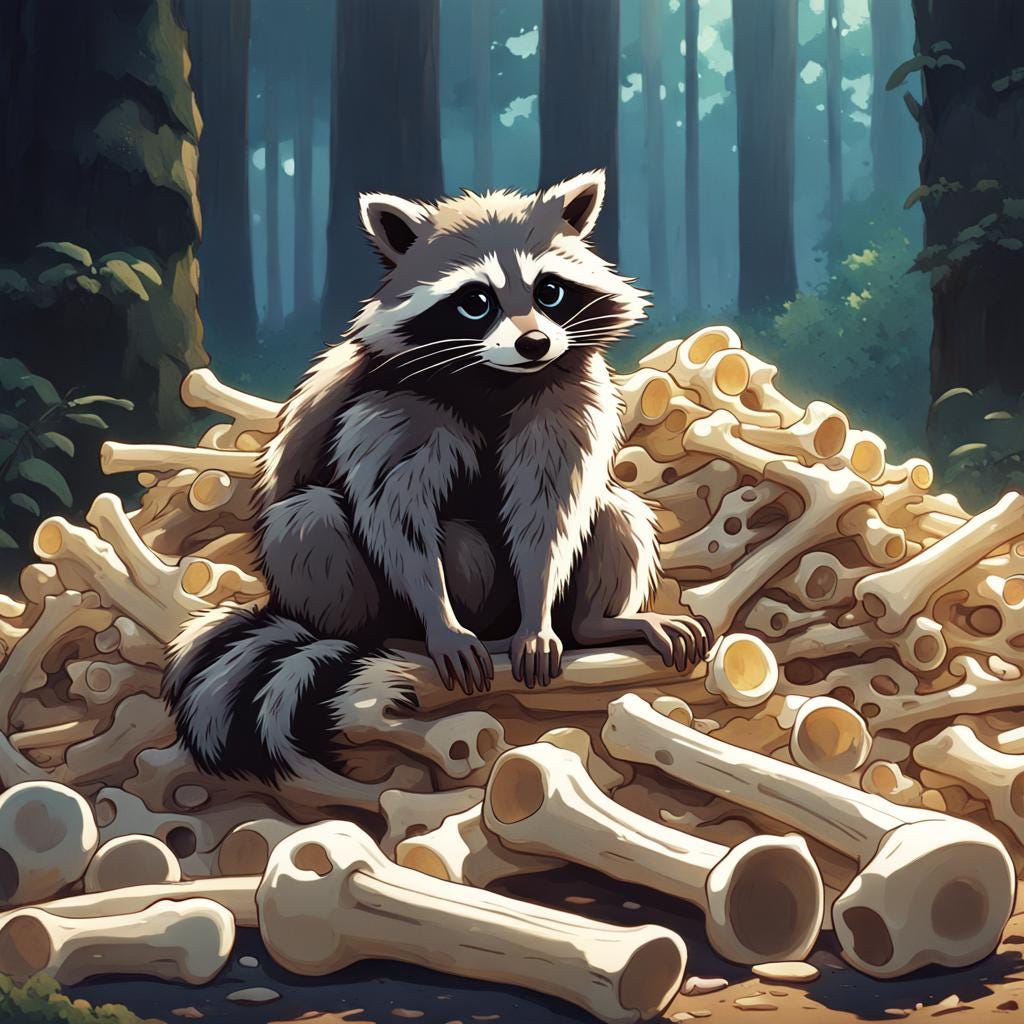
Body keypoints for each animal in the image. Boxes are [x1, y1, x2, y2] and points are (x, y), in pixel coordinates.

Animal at [163, 169, 714, 781]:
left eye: (549, 291)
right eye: (476, 301)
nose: (535, 343)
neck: (496, 379)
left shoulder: (564, 395)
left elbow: (550, 512)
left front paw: (541, 611)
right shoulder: (389, 403)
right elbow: (395, 516)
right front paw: (440, 618)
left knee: (618, 509)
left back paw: (597, 623)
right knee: (310, 519)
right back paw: (380, 634)